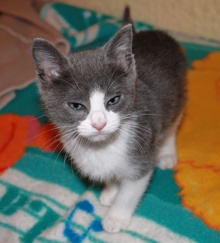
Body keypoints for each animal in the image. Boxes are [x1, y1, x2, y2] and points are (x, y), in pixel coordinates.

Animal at [31, 14, 186, 233]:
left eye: (113, 100)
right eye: (76, 105)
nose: (99, 124)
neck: (101, 147)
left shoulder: (142, 152)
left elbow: (130, 192)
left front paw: (116, 217)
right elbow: (111, 176)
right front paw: (110, 191)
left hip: (178, 94)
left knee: (172, 123)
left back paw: (166, 153)